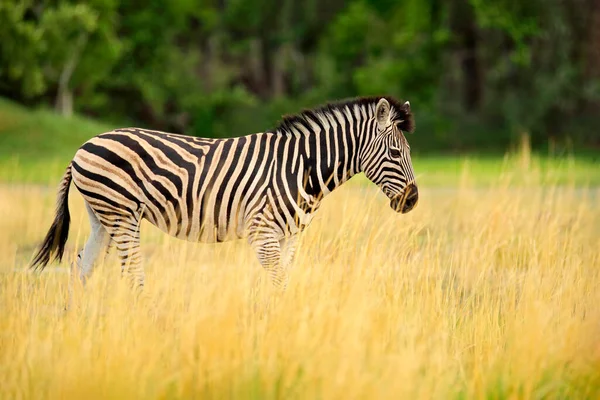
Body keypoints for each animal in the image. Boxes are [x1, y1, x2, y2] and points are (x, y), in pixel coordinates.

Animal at [30, 97, 420, 290]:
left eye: (408, 152)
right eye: (395, 153)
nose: (413, 200)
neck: (302, 168)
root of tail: (83, 146)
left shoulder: (291, 237)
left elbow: (283, 283)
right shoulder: (263, 233)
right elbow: (277, 284)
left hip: (102, 217)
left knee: (81, 268)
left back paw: (75, 328)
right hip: (122, 213)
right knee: (131, 273)